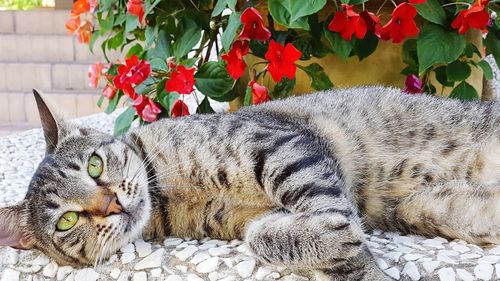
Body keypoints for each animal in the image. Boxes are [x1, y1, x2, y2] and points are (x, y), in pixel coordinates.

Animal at [0, 86, 498, 278]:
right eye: (66, 222)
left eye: (94, 166)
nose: (113, 203)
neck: (165, 191)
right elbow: (260, 235)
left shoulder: (282, 143)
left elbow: (334, 219)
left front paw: (355, 258)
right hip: (426, 207)